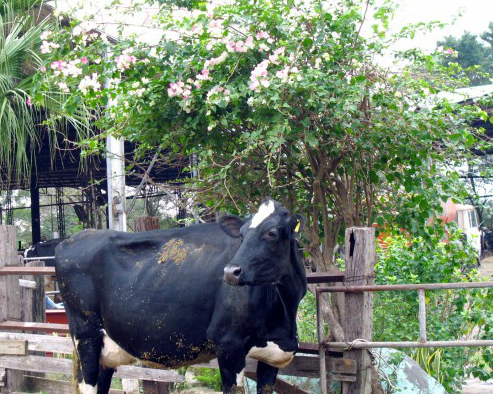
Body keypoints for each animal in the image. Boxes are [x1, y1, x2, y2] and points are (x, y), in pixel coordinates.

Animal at [55, 200, 306, 394]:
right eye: (242, 236)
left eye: (272, 233)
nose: (230, 272)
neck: (283, 311)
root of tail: (71, 240)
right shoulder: (229, 345)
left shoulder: (272, 357)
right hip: (86, 336)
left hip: (105, 351)